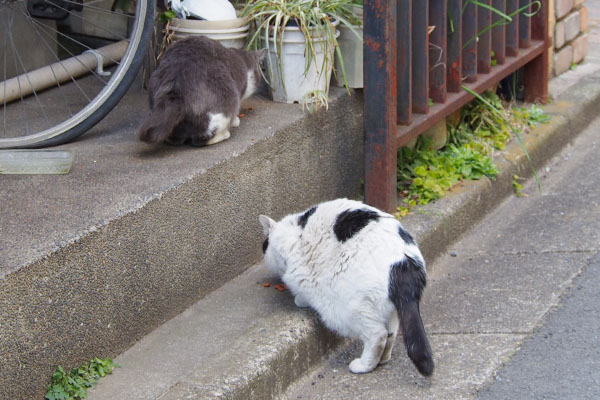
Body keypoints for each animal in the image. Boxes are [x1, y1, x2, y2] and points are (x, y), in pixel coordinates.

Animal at [260, 198, 434, 376]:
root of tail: (404, 262)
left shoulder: (300, 274)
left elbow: (302, 289)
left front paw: (300, 299)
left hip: (353, 309)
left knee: (378, 335)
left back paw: (364, 365)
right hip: (388, 310)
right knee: (391, 333)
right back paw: (383, 359)